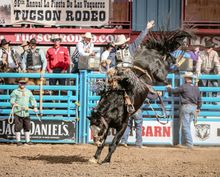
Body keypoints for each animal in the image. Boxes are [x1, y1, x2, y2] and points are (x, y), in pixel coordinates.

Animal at [87, 27, 192, 165]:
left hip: (161, 73)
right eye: (91, 128)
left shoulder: (123, 125)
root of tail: (153, 51)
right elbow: (104, 143)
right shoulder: (109, 124)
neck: (116, 102)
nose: (96, 141)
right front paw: (95, 157)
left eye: (98, 128)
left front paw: (106, 160)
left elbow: (113, 144)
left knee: (167, 63)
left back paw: (177, 63)